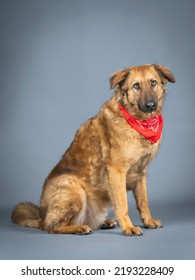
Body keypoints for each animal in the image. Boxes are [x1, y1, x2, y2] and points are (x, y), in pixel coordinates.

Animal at [11, 64, 176, 235]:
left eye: (153, 82)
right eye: (136, 86)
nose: (151, 105)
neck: (137, 122)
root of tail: (42, 218)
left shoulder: (141, 172)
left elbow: (143, 201)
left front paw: (148, 221)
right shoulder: (117, 171)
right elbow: (122, 204)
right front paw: (128, 227)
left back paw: (104, 222)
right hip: (74, 189)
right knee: (53, 227)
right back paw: (79, 228)